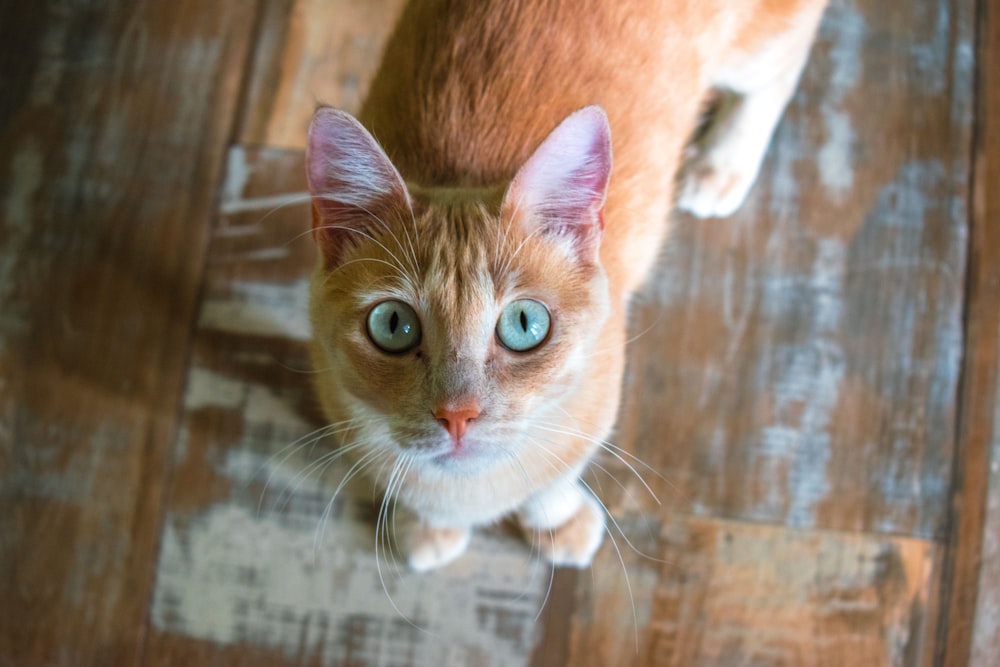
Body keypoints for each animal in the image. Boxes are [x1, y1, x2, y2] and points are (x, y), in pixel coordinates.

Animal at [306, 1, 828, 576]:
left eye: (524, 324)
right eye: (393, 325)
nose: (457, 415)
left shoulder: (597, 406)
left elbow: (554, 478)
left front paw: (557, 521)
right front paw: (429, 524)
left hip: (760, 41)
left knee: (779, 70)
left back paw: (722, 164)